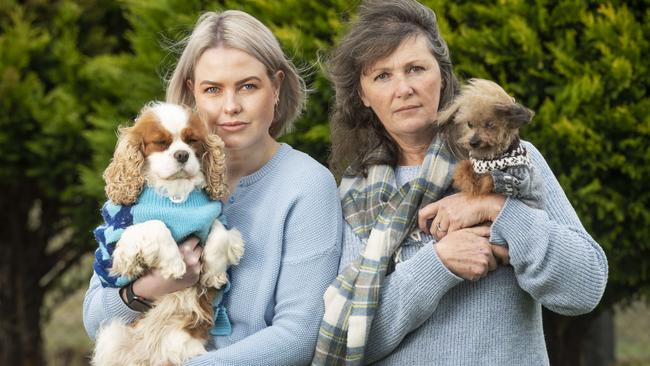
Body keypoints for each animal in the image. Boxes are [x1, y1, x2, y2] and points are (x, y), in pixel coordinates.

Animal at [90, 101, 242, 366]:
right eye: (161, 142)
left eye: (192, 141)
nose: (182, 154)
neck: (175, 194)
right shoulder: (113, 246)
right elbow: (156, 224)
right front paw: (174, 264)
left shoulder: (212, 216)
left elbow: (220, 232)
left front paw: (213, 273)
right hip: (112, 336)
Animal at [438, 78, 544, 207]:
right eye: (469, 124)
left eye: (490, 124)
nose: (473, 142)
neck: (491, 156)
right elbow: (463, 171)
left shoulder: (519, 177)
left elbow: (487, 180)